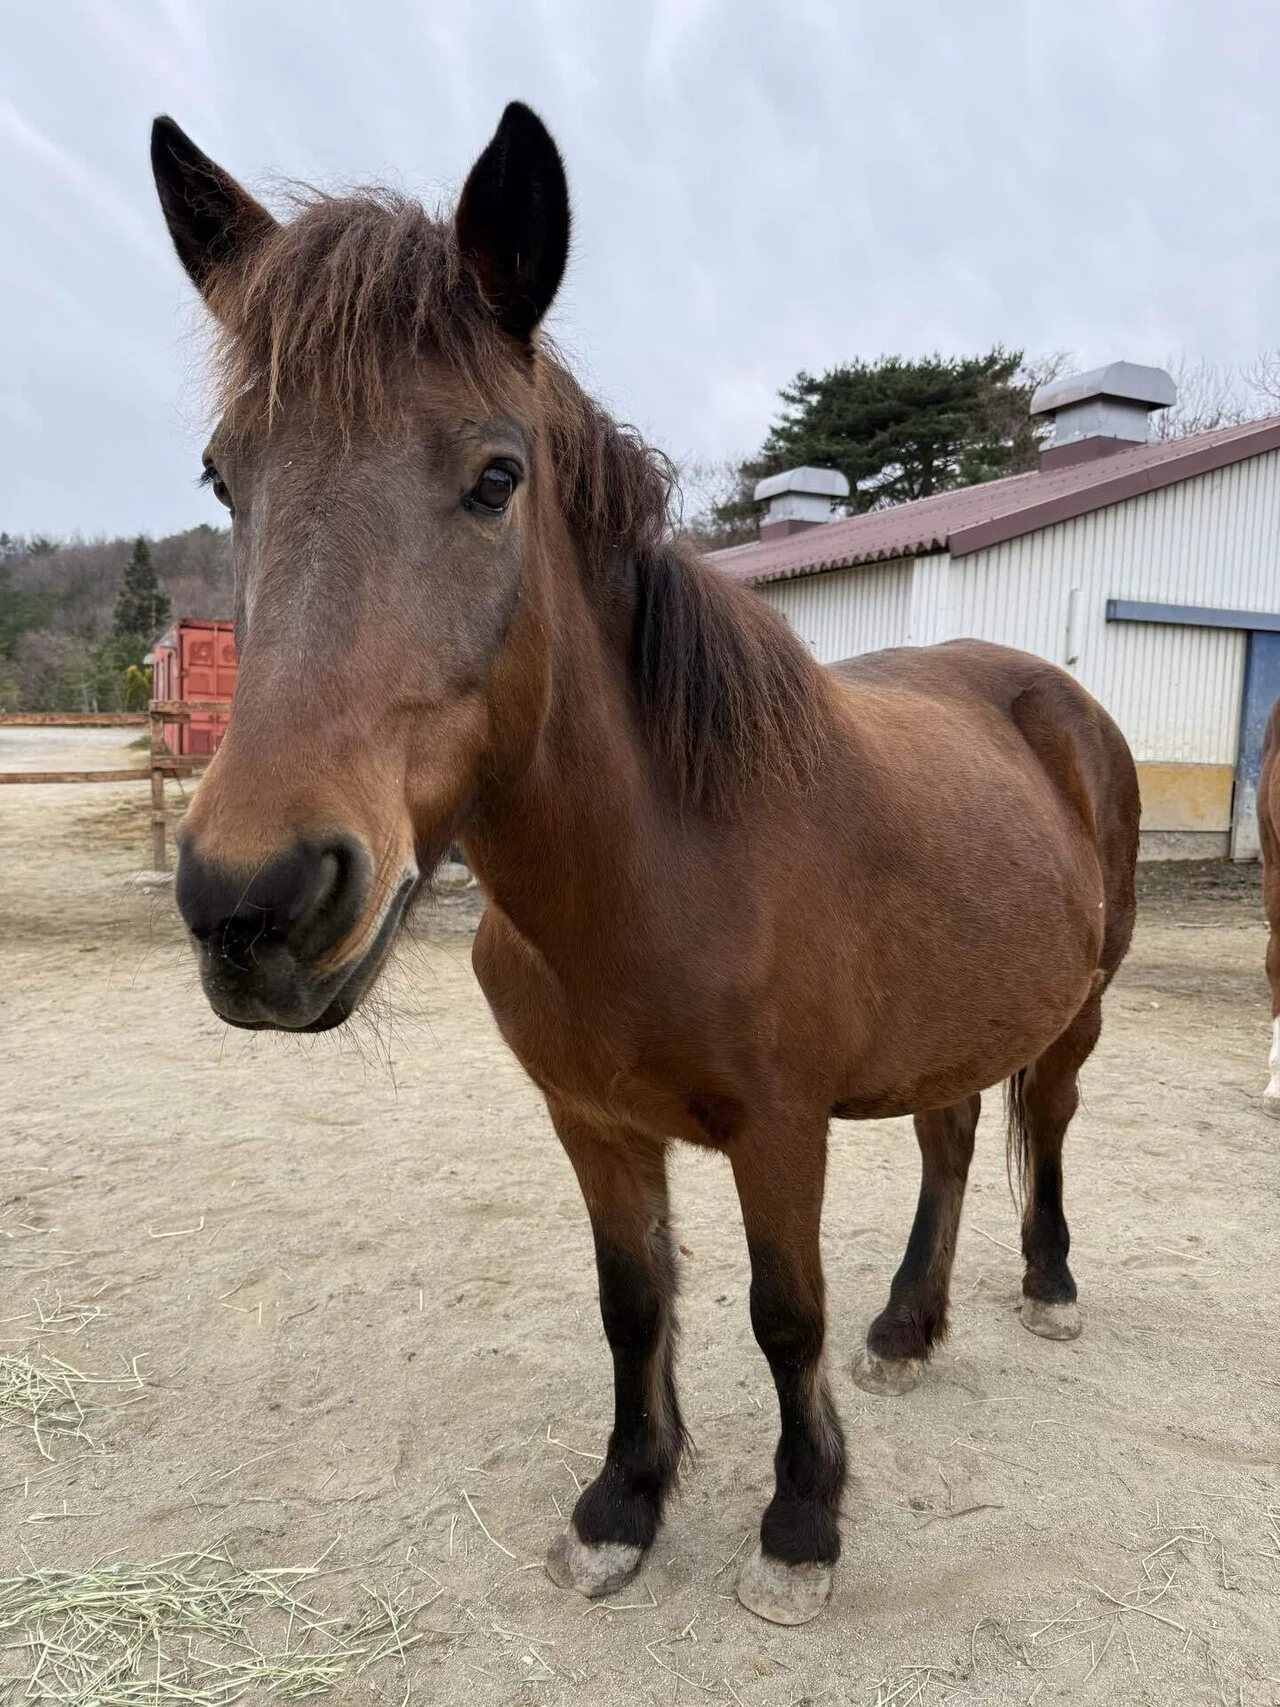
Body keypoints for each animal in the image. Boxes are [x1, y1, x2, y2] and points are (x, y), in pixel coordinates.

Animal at [150, 102, 1140, 1626]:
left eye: (496, 477)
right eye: (223, 474)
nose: (254, 904)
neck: (657, 867)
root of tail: (1053, 697)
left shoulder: (780, 1130)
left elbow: (778, 1312)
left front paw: (800, 1523)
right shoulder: (591, 1122)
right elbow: (635, 1305)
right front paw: (624, 1501)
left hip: (1079, 1008)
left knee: (1052, 1122)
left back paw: (1046, 1286)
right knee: (954, 1136)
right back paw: (907, 1325)